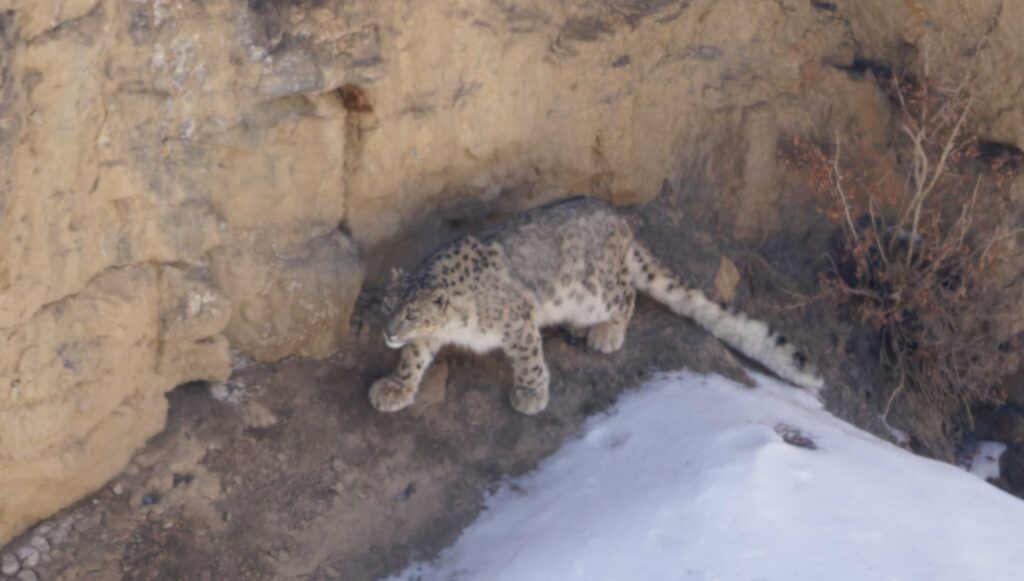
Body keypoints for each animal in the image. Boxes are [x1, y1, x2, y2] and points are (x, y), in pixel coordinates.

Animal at [370, 196, 823, 415]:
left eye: (412, 313)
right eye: (387, 306)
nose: (388, 334)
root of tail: (619, 221)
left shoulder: (516, 320)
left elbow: (528, 358)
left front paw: (530, 394)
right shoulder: (428, 339)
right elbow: (414, 357)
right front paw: (395, 387)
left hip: (597, 290)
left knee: (628, 294)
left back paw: (605, 333)